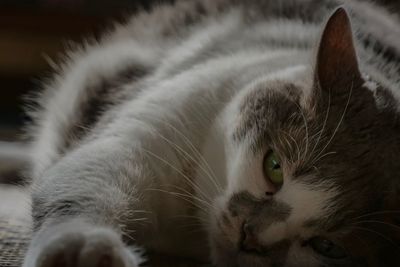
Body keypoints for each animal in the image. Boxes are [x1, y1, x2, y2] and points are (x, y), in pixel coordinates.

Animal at [21, 0, 400, 266]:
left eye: (328, 246)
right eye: (274, 167)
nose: (251, 235)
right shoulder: (157, 125)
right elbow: (88, 178)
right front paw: (81, 247)